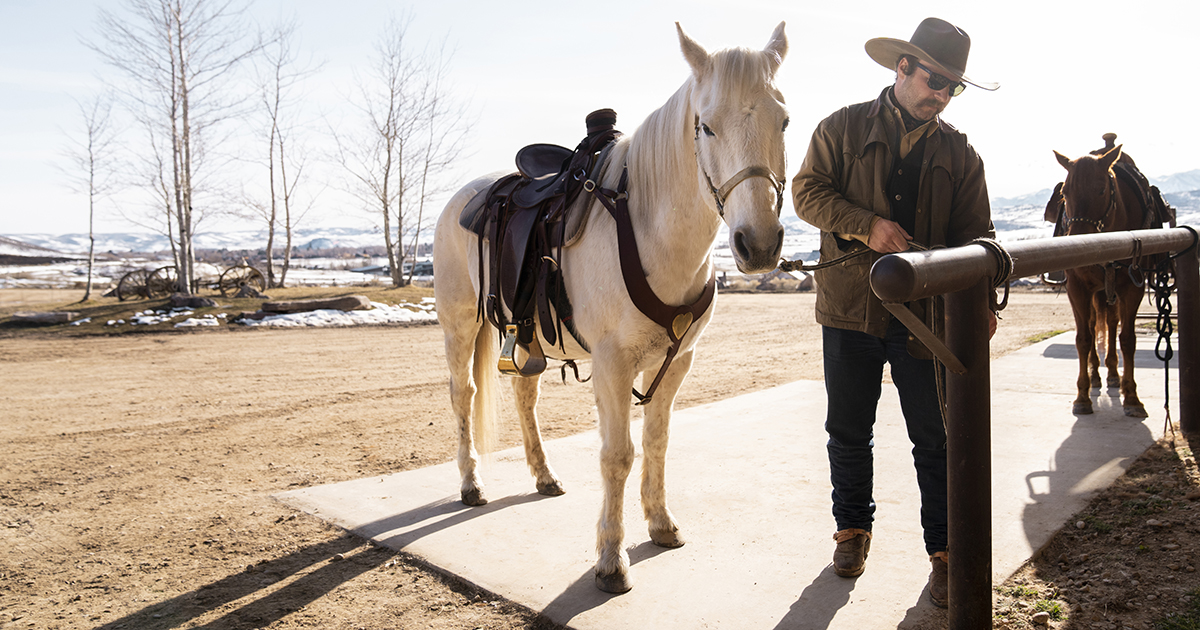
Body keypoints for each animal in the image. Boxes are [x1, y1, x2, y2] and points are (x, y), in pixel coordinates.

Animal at [432, 22, 787, 592]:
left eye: (785, 120)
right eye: (706, 127)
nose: (758, 244)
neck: (649, 230)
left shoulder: (678, 361)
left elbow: (657, 441)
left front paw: (661, 524)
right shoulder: (613, 364)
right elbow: (618, 455)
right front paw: (610, 559)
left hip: (528, 335)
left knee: (525, 396)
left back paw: (544, 475)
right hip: (460, 324)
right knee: (463, 394)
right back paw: (471, 484)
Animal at [1056, 144, 1147, 415]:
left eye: (1101, 189)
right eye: (1065, 192)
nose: (1078, 245)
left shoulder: (1133, 289)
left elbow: (1127, 339)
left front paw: (1132, 396)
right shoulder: (1077, 289)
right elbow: (1084, 338)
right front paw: (1082, 396)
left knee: (1112, 323)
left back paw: (1114, 375)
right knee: (1095, 323)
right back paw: (1096, 375)